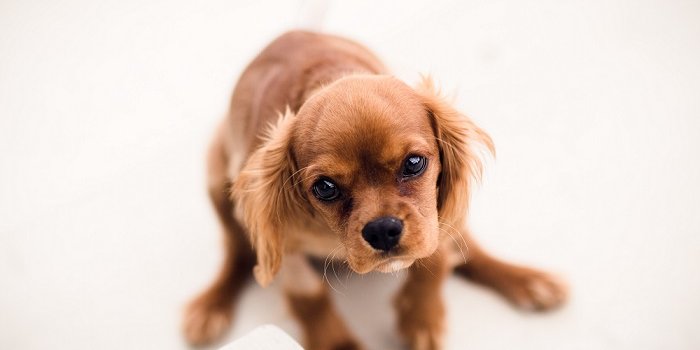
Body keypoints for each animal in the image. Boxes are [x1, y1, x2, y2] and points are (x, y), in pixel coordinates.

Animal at [183, 30, 568, 350]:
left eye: (414, 163)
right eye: (324, 187)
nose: (383, 230)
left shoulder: (431, 217)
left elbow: (435, 259)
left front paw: (420, 318)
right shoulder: (284, 243)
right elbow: (309, 296)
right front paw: (339, 345)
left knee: (466, 249)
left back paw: (529, 281)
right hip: (218, 185)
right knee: (236, 253)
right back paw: (210, 307)